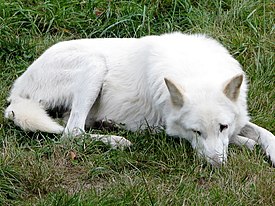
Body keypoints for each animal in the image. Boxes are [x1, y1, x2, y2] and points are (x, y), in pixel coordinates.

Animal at [4, 33, 275, 167]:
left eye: (222, 126)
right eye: (196, 132)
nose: (216, 165)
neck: (196, 70)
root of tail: (17, 88)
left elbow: (265, 132)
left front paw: (261, 146)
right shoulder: (166, 126)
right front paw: (246, 143)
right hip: (95, 65)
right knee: (72, 132)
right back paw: (117, 140)